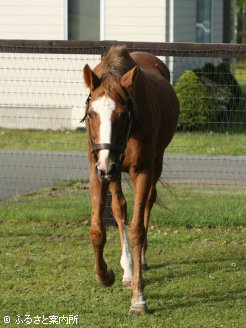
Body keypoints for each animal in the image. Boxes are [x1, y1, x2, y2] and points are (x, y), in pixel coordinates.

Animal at [82, 44, 179, 314]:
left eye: (123, 114)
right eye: (91, 114)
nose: (107, 165)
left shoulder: (142, 171)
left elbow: (137, 230)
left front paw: (139, 298)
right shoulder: (97, 169)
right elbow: (98, 229)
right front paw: (105, 275)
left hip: (153, 161)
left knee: (148, 203)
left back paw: (141, 262)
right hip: (113, 172)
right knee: (120, 208)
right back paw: (128, 269)